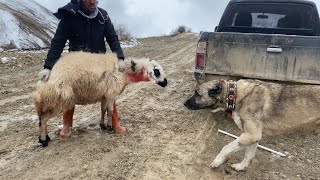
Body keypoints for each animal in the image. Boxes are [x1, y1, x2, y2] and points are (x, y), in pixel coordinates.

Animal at [33, 51, 168, 147]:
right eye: (156, 71)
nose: (166, 83)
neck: (124, 73)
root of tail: (48, 79)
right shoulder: (111, 94)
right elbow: (110, 111)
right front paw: (109, 126)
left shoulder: (104, 95)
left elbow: (103, 110)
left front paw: (102, 125)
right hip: (58, 100)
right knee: (43, 119)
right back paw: (43, 140)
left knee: (42, 118)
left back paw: (46, 137)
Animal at [184, 79, 318, 171]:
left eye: (197, 93)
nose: (184, 103)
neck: (235, 95)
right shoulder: (252, 137)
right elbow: (249, 154)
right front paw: (240, 167)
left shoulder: (251, 135)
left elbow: (226, 147)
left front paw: (217, 161)